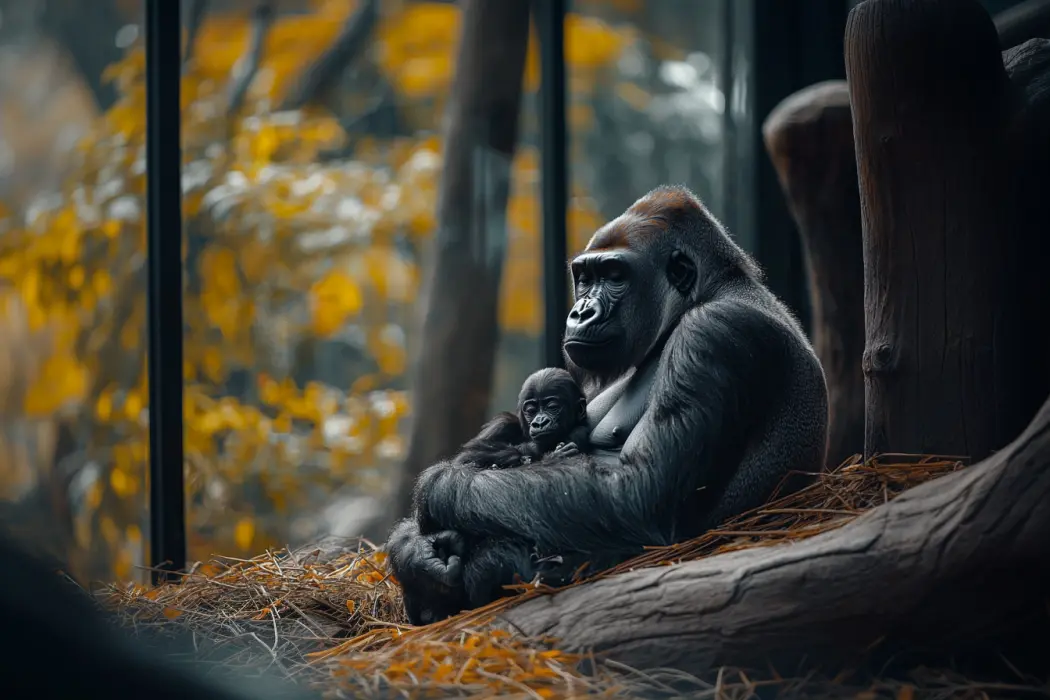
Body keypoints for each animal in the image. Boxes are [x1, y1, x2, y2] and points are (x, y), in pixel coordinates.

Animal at [387, 184, 829, 619]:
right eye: (584, 278)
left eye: (615, 276)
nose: (581, 312)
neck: (707, 292)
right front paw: (415, 553)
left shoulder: (715, 332)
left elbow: (640, 498)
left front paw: (438, 488)